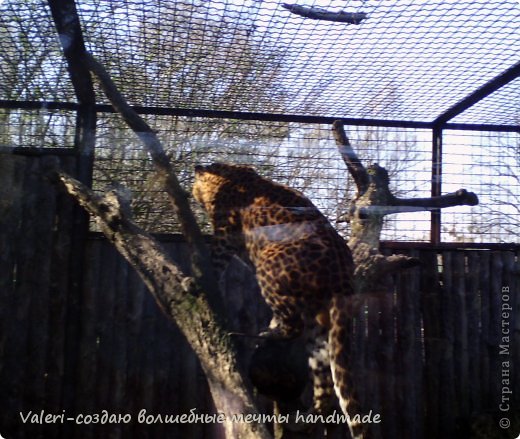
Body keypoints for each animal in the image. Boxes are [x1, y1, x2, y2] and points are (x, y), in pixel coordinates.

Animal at [192, 163, 366, 438]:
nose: (193, 197)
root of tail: (344, 275)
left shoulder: (224, 234)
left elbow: (216, 260)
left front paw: (198, 276)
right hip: (318, 323)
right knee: (324, 385)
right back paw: (305, 419)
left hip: (269, 261)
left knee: (294, 326)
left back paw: (263, 333)